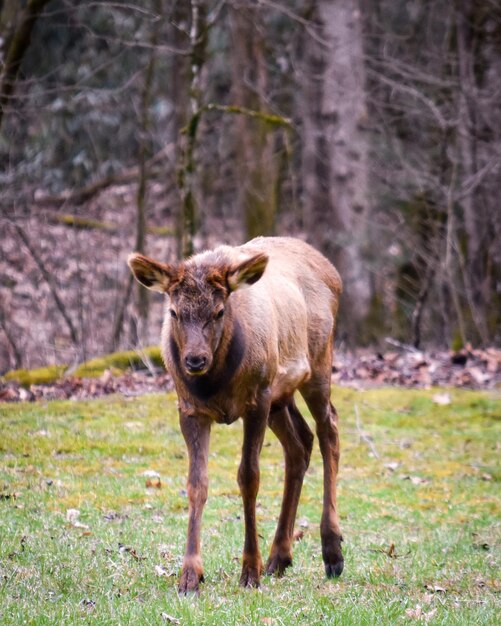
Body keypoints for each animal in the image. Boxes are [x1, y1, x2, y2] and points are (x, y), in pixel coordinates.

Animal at [127, 234, 342, 588]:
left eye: (218, 311)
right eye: (173, 312)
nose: (194, 360)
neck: (215, 383)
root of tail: (333, 272)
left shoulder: (256, 400)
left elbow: (249, 477)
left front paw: (249, 571)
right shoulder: (189, 408)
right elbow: (196, 483)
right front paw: (190, 575)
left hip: (318, 363)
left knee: (329, 430)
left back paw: (332, 551)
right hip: (280, 394)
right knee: (300, 443)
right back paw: (280, 556)